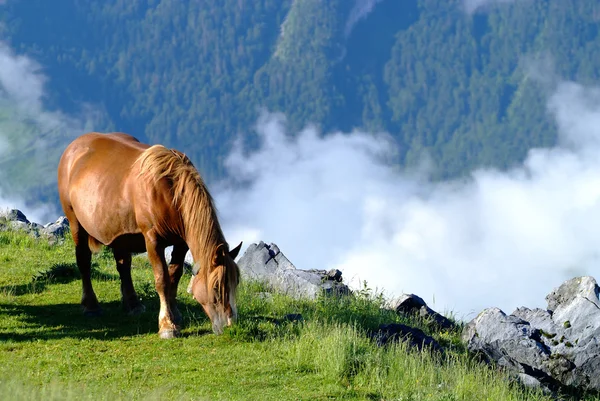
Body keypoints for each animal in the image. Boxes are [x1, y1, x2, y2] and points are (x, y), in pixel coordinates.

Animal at [56, 133, 241, 336]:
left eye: (236, 283)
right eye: (216, 287)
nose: (229, 323)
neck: (170, 192)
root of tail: (74, 146)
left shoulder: (181, 243)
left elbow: (174, 275)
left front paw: (175, 315)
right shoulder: (153, 240)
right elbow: (162, 279)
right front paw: (167, 325)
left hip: (120, 233)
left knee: (123, 266)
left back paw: (133, 304)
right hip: (75, 222)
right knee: (84, 260)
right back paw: (91, 306)